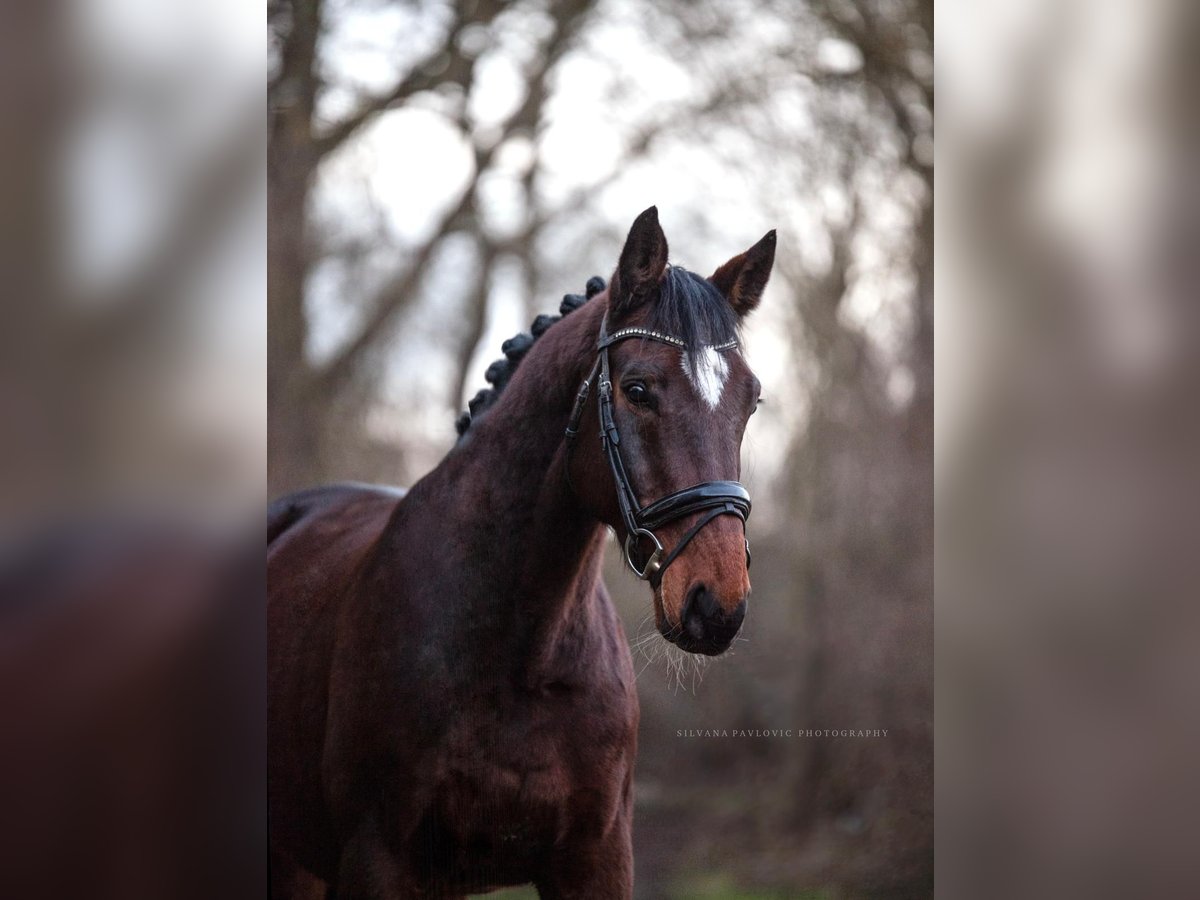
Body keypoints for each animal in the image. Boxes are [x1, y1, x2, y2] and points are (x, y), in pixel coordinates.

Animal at [270, 207, 777, 897]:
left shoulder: (596, 859)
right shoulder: (380, 861)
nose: (716, 603)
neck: (520, 655)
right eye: (638, 389)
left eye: (751, 400)